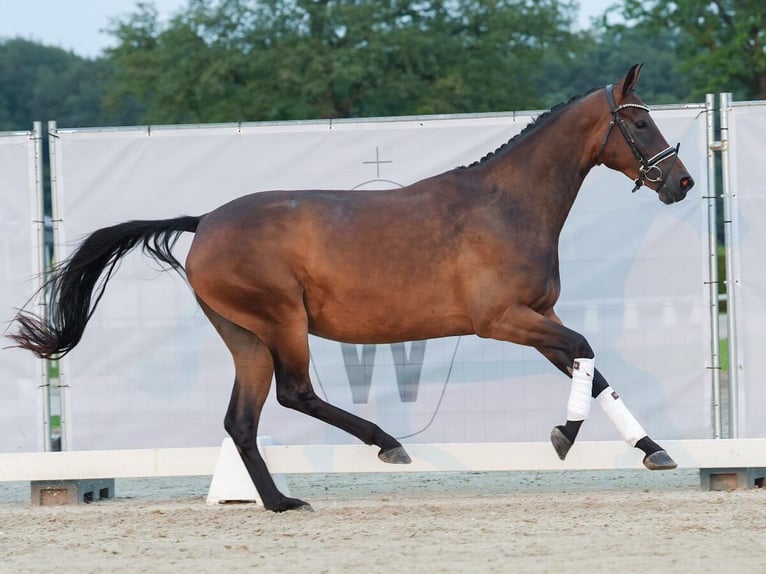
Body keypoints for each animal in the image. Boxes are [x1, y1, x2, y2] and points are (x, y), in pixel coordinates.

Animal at [10, 64, 696, 512]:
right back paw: (385, 446)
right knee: (294, 393)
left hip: (246, 338)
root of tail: (204, 223)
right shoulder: (502, 319)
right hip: (283, 323)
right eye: (638, 122)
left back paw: (279, 502)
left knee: (242, 420)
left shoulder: (537, 317)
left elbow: (592, 368)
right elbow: (585, 350)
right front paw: (564, 437)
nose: (682, 183)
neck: (507, 205)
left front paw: (654, 451)